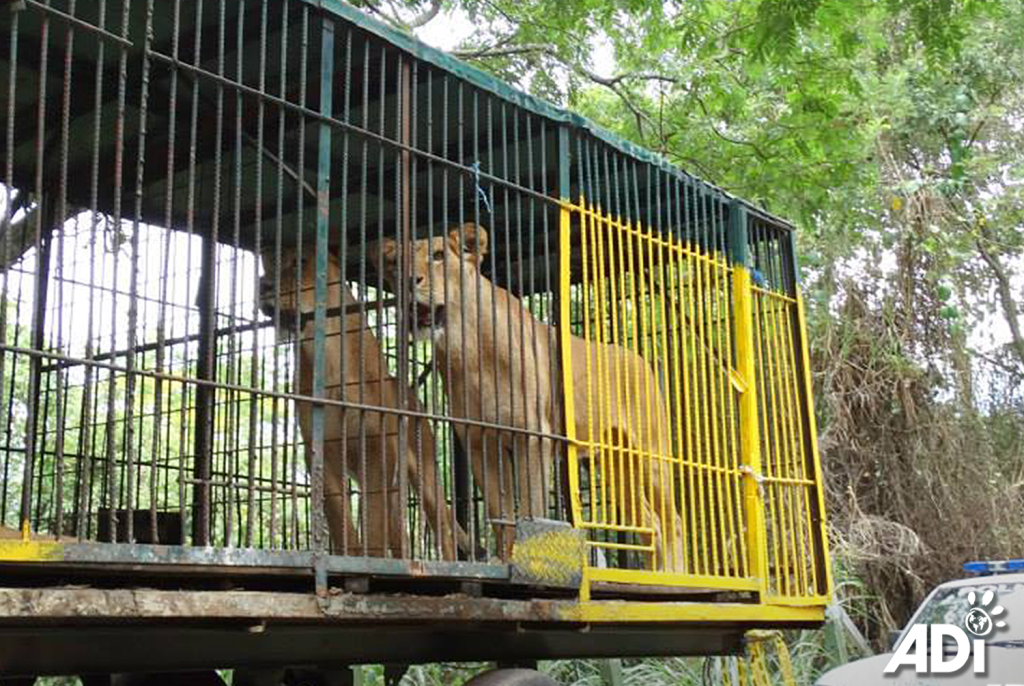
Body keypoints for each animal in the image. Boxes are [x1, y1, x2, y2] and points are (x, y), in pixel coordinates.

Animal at [259, 246, 468, 560]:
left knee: (442, 527)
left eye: (301, 262)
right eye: (269, 265)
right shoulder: (321, 453)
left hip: (425, 472)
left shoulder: (378, 451)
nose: (263, 286)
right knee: (400, 535)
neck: (326, 353)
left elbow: (374, 526)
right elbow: (344, 525)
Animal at [381, 224, 684, 569]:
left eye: (439, 255)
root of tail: (642, 360)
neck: (467, 349)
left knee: (672, 521)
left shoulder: (534, 435)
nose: (406, 281)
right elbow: (500, 512)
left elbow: (532, 506)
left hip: (651, 456)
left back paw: (676, 575)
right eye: (395, 264)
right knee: (651, 526)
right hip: (613, 462)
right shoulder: (480, 442)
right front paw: (503, 560)